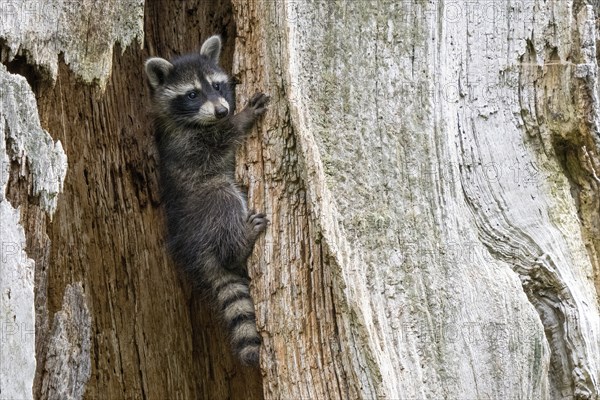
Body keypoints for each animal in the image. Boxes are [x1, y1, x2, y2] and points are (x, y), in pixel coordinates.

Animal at [144, 36, 268, 368]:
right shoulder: (185, 144)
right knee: (223, 199)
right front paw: (241, 119)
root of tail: (195, 247)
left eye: (217, 85)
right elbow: (218, 142)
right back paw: (241, 243)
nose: (223, 112)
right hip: (207, 203)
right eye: (192, 94)